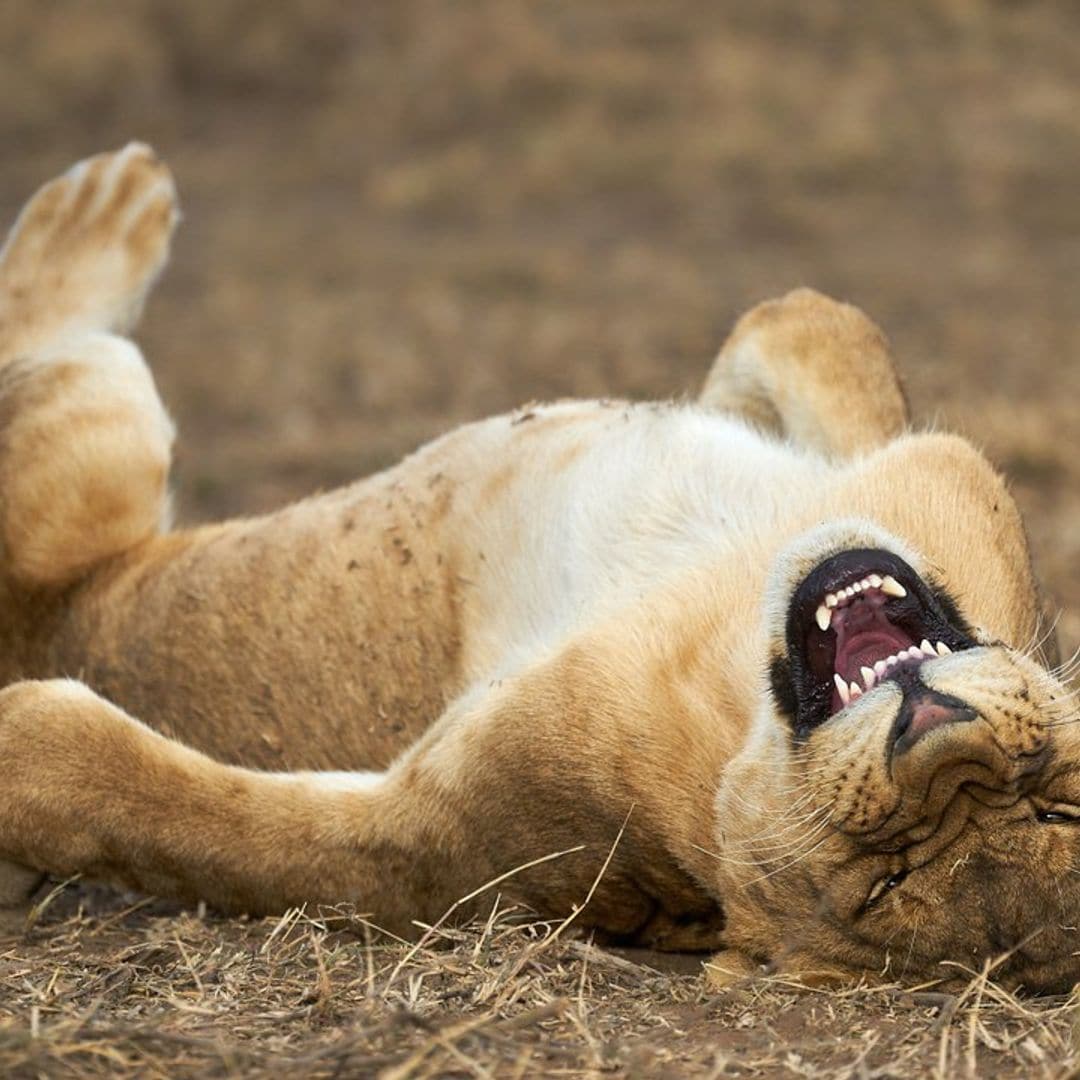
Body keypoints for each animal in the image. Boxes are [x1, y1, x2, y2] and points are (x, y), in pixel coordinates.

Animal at [2, 143, 1080, 989]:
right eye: (1063, 799)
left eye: (882, 879)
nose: (941, 743)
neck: (737, 669)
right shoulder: (902, 460)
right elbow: (815, 320)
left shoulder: (444, 842)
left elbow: (205, 824)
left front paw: (32, 747)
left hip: (101, 432)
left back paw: (102, 203)